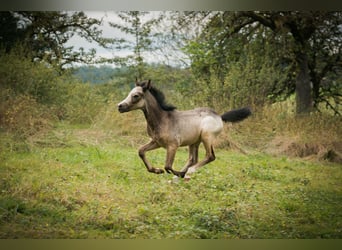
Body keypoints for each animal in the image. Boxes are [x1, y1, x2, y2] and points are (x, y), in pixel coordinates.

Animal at [118, 80, 251, 180]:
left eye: (136, 95)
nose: (119, 106)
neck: (163, 119)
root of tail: (219, 116)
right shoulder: (157, 142)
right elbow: (141, 151)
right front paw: (157, 170)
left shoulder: (173, 145)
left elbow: (168, 166)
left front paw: (179, 174)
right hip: (194, 142)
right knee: (193, 159)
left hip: (206, 137)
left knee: (210, 156)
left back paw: (189, 172)